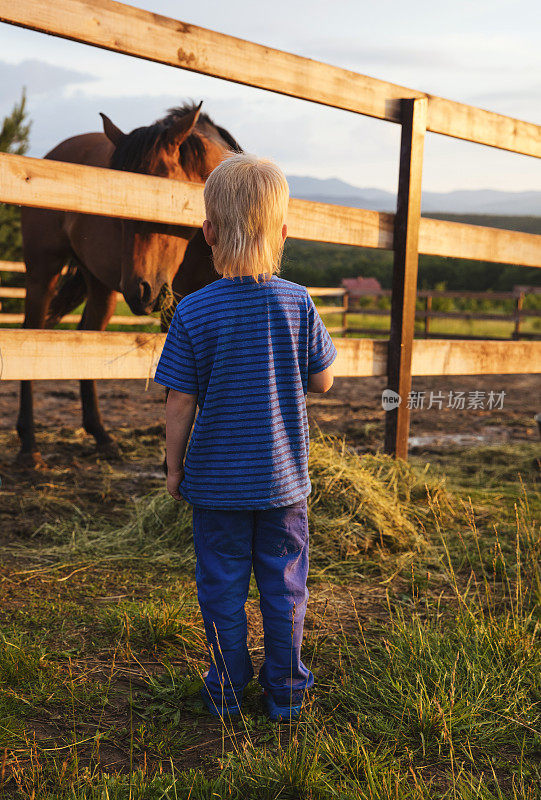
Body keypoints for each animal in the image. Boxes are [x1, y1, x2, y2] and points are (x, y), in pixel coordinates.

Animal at [17, 106, 240, 468]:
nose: (141, 291)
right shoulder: (175, 309)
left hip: (100, 286)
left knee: (88, 336)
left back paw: (101, 436)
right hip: (43, 271)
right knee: (31, 335)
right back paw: (28, 445)